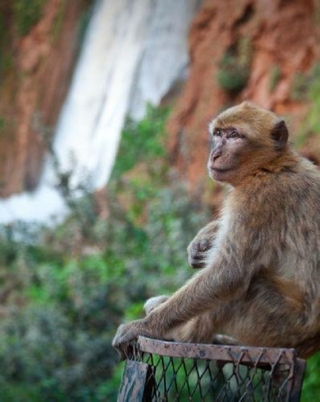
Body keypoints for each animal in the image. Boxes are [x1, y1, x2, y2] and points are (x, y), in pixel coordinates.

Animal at [112, 102, 320, 360]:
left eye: (234, 135)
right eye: (219, 134)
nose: (215, 154)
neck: (269, 165)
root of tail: (306, 349)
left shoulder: (258, 197)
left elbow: (228, 275)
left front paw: (143, 327)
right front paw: (203, 239)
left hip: (282, 327)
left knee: (247, 288)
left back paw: (183, 335)